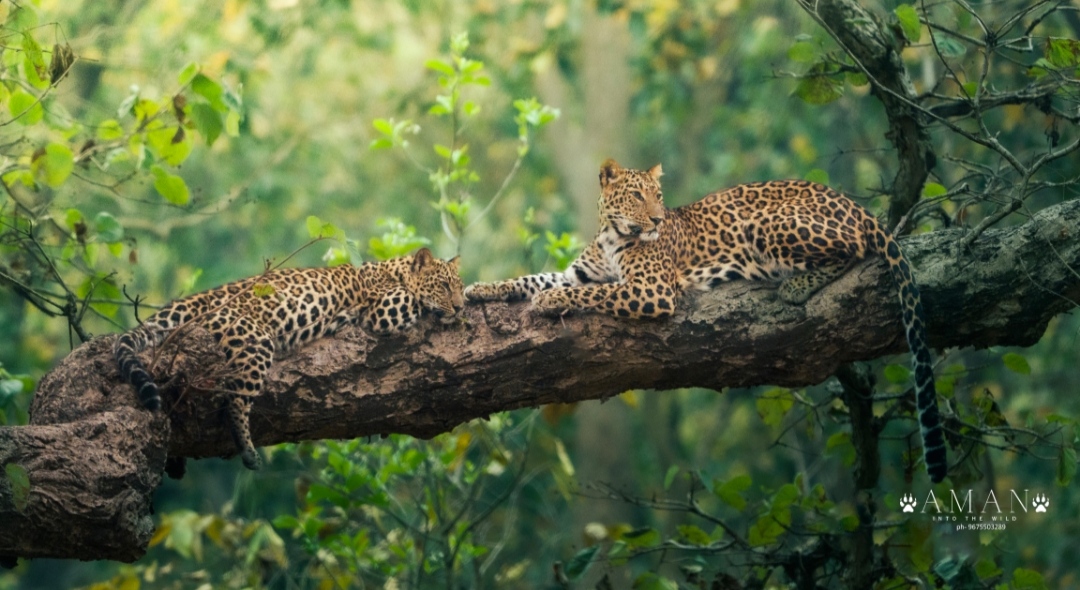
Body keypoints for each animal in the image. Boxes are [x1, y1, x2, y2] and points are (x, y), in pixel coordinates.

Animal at [115, 247, 464, 470]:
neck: (394, 271)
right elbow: (419, 300)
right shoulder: (386, 309)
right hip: (255, 341)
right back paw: (247, 450)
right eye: (444, 286)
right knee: (234, 399)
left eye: (455, 286)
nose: (459, 308)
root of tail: (196, 300)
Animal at [465, 159, 947, 482]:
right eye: (637, 196)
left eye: (659, 197)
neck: (611, 234)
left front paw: (549, 301)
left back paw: (794, 285)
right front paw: (477, 288)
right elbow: (531, 278)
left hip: (768, 223)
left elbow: (588, 293)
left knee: (852, 252)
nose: (657, 219)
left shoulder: (651, 290)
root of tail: (856, 205)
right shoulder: (580, 271)